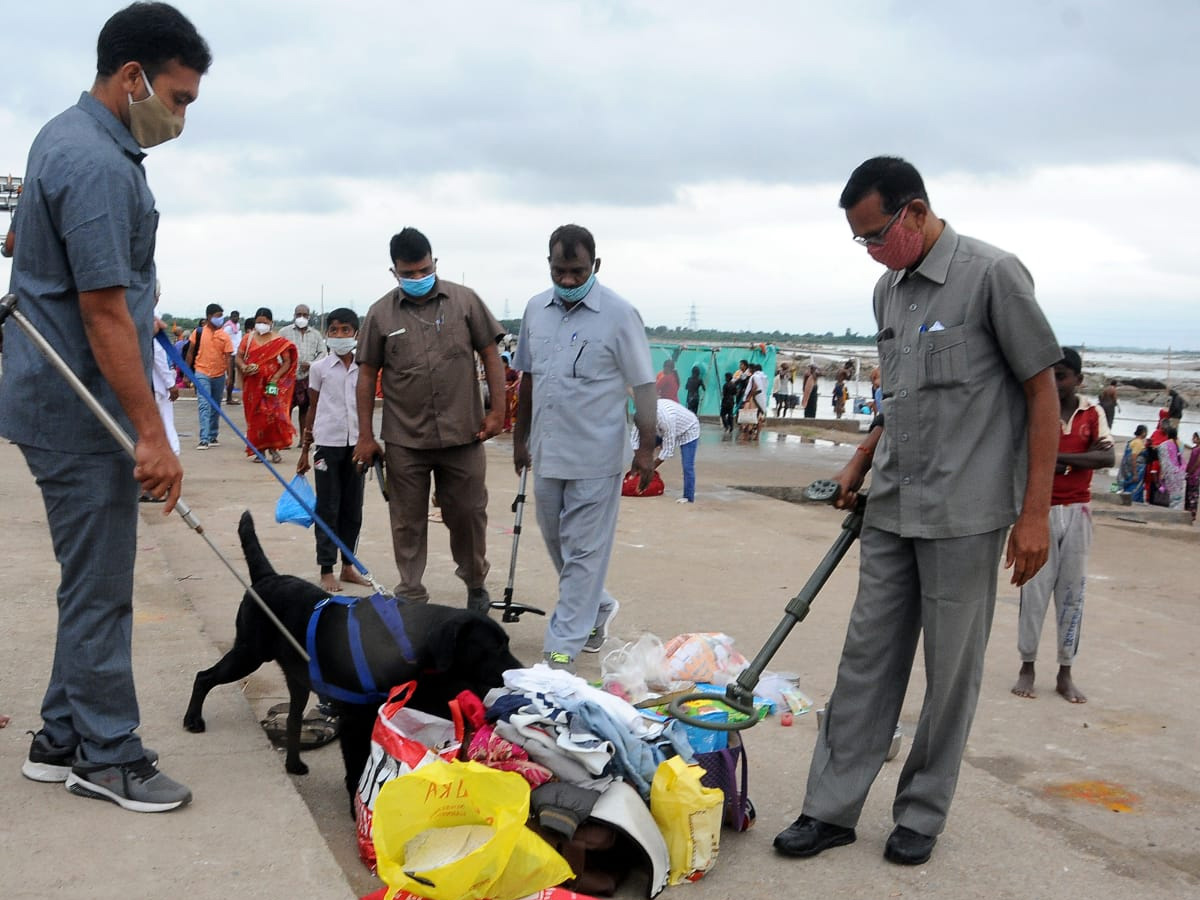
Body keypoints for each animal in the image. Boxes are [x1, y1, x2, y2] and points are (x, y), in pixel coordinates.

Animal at [182, 511, 520, 806]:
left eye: (506, 643)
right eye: (494, 648)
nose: (519, 670)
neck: (406, 640)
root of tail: (268, 578)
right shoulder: (356, 718)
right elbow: (357, 766)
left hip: (295, 678)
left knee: (292, 719)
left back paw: (293, 764)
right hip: (247, 654)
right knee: (204, 677)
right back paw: (192, 719)